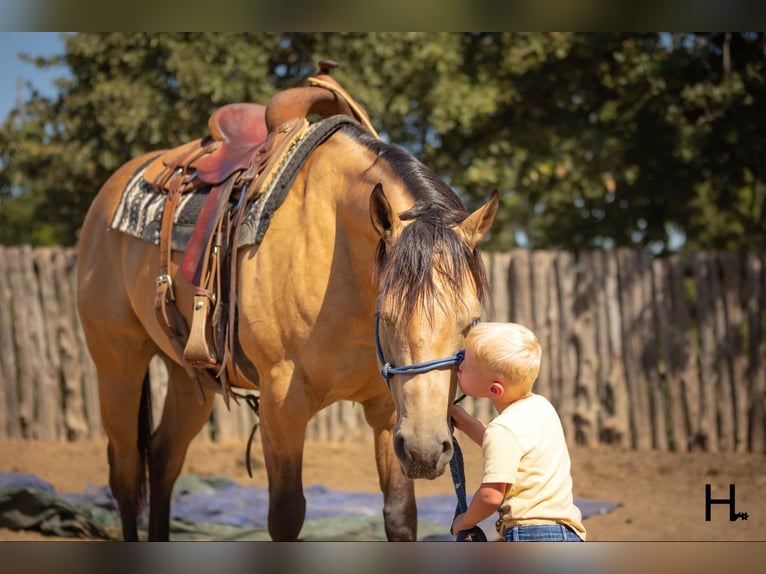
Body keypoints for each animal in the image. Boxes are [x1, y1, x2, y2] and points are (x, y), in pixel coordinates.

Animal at [76, 71, 498, 541]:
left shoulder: (390, 414)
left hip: (187, 376)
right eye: (385, 316)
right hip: (118, 363)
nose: (427, 451)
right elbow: (286, 515)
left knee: (164, 456)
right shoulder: (281, 406)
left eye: (470, 321)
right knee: (126, 472)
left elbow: (400, 516)